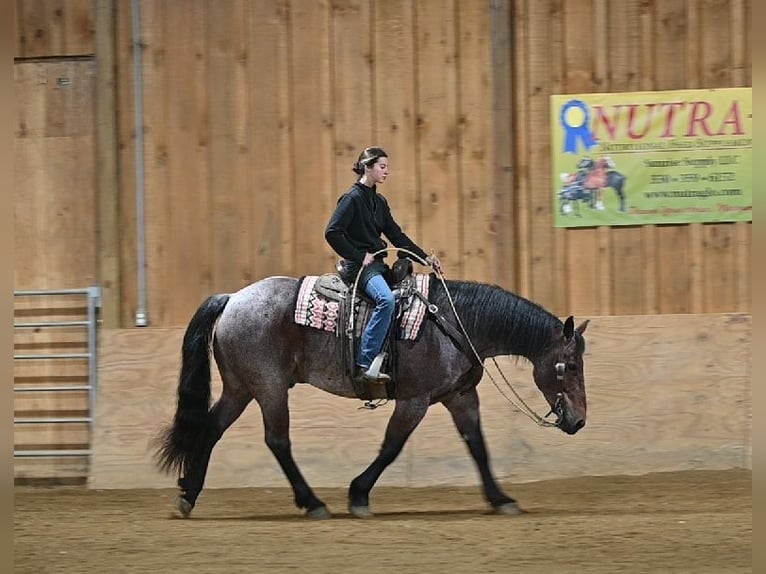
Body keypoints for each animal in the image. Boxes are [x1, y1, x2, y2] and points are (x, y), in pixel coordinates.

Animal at [153, 272, 589, 519]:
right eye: (569, 365)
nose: (580, 420)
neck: (453, 322)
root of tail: (231, 299)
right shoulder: (414, 401)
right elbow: (391, 446)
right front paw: (358, 494)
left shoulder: (460, 397)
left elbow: (478, 448)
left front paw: (501, 500)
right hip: (269, 387)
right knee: (277, 440)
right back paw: (313, 503)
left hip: (241, 388)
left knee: (211, 429)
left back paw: (188, 494)